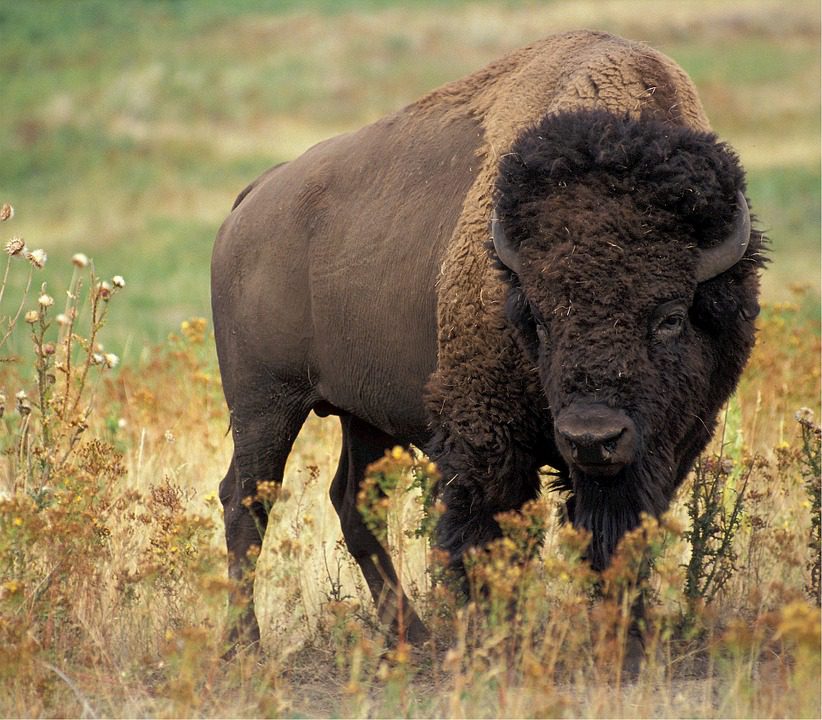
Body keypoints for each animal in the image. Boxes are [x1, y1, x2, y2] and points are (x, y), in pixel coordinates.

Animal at [211, 30, 765, 648]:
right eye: (539, 318)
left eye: (670, 316)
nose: (591, 437)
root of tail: (253, 199)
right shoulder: (486, 437)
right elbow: (489, 536)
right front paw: (497, 636)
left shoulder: (666, 446)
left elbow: (620, 537)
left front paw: (628, 638)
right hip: (265, 404)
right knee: (246, 500)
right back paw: (245, 645)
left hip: (363, 415)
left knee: (352, 503)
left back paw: (412, 638)